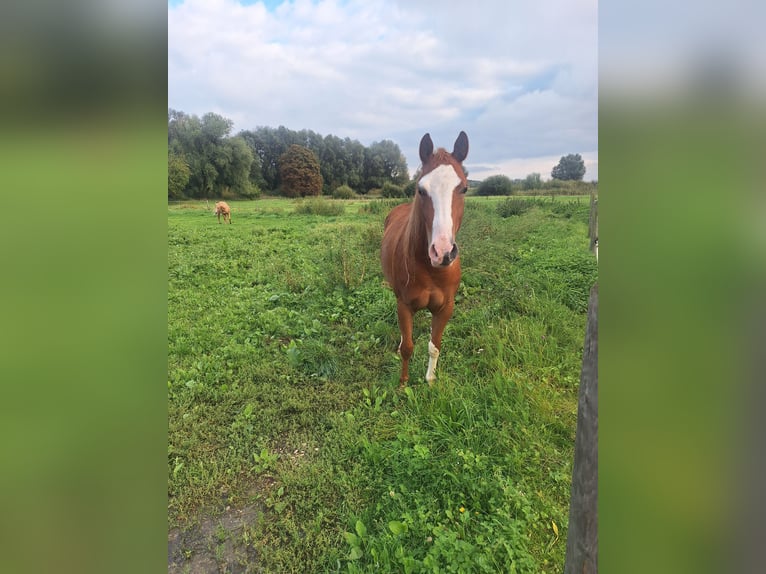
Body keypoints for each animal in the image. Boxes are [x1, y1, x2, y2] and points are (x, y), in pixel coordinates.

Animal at [381, 131, 469, 386]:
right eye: (421, 190)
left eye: (464, 189)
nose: (442, 252)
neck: (431, 270)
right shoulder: (404, 306)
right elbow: (408, 348)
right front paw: (403, 383)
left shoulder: (445, 307)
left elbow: (434, 346)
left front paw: (430, 380)